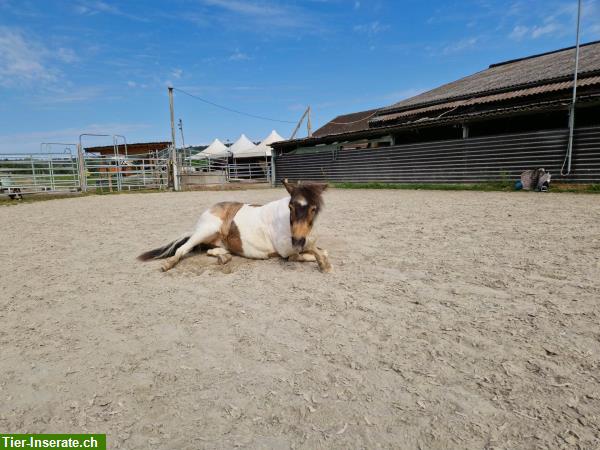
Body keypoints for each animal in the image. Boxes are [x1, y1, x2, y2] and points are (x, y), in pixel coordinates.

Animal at [137, 178, 332, 270]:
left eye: (314, 209)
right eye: (291, 207)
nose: (297, 241)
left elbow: (320, 250)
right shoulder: (286, 251)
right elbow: (311, 254)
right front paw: (324, 265)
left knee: (211, 250)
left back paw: (224, 257)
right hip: (207, 230)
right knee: (182, 249)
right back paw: (168, 265)